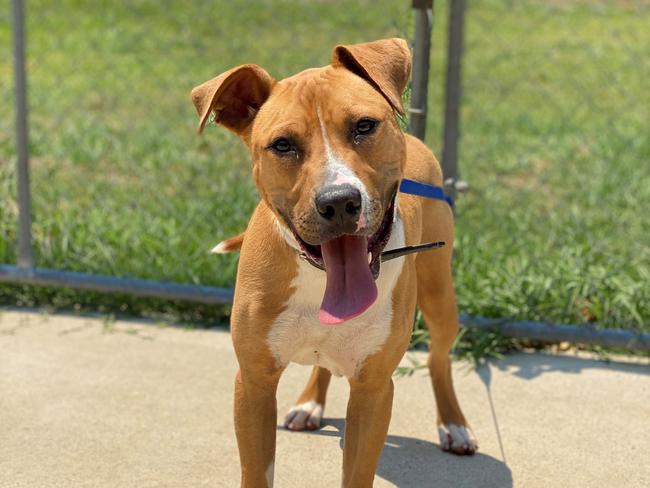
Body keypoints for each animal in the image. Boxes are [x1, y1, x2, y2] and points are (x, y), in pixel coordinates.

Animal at [190, 38, 474, 488]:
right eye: (282, 145)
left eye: (364, 125)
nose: (339, 201)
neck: (319, 277)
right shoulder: (253, 383)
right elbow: (257, 470)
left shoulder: (374, 390)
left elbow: (357, 470)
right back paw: (310, 403)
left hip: (440, 293)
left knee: (438, 358)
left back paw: (454, 425)